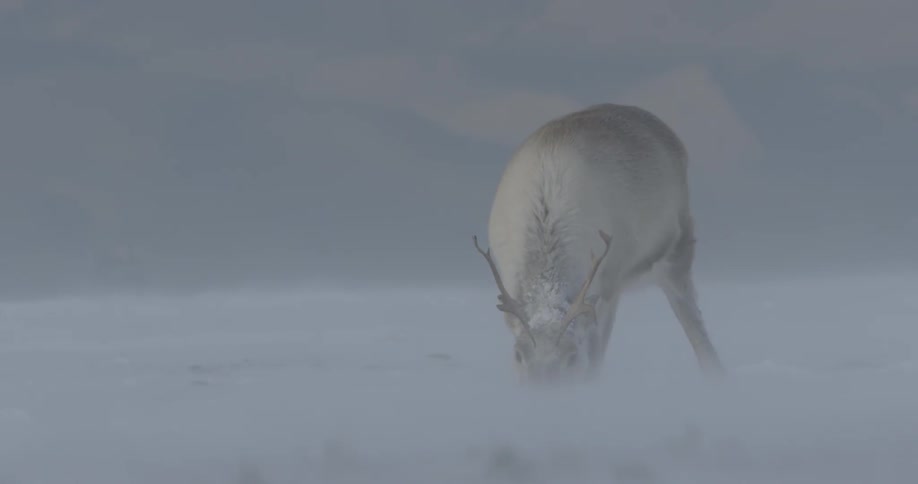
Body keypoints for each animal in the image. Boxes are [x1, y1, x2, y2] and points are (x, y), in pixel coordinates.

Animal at [474, 103, 724, 384]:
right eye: (518, 354)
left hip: (675, 252)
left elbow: (595, 357)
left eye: (571, 357)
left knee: (694, 323)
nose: (543, 385)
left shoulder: (609, 281)